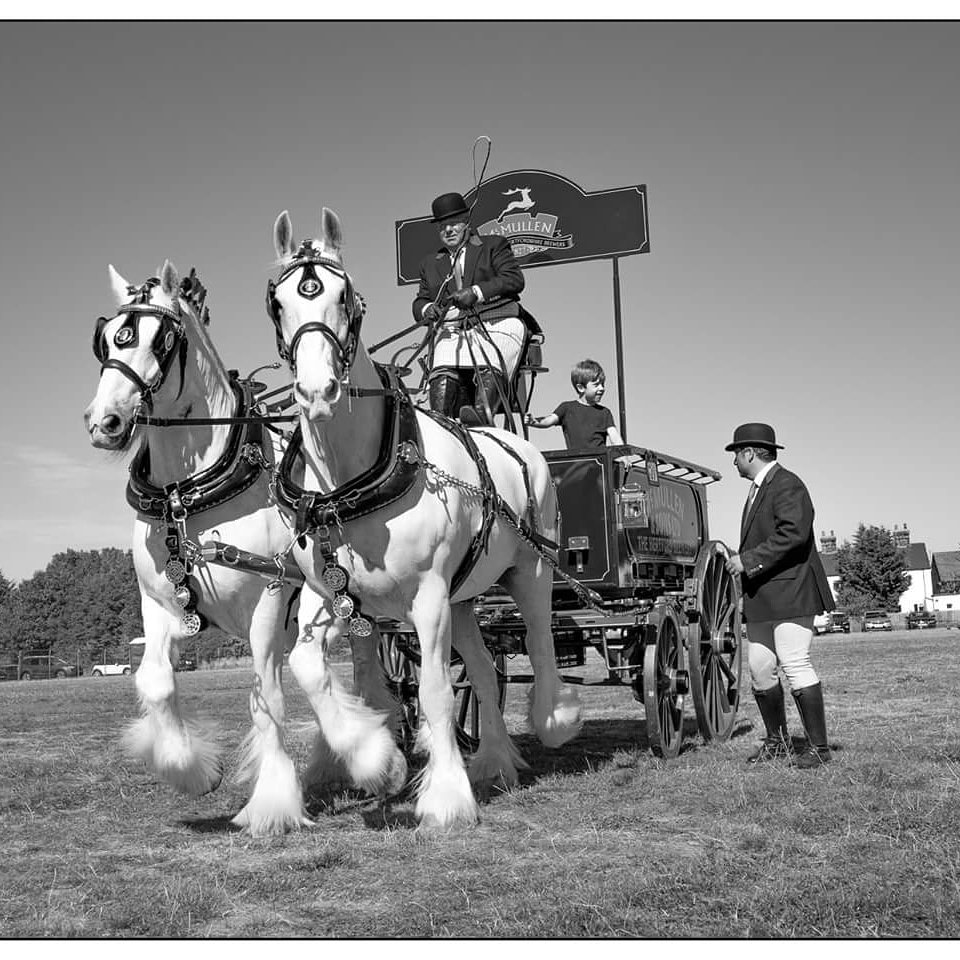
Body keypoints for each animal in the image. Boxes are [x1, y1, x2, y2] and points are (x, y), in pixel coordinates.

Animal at [83, 261, 406, 835]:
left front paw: (273, 801)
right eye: (105, 338)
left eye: (161, 339)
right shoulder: (160, 604)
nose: (106, 422)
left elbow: (267, 698)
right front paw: (191, 769)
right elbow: (155, 681)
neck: (185, 497)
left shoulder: (269, 601)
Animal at [267, 207, 583, 829]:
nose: (317, 391)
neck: (350, 480)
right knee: (482, 670)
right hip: (464, 597)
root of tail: (517, 442)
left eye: (346, 296)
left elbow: (436, 690)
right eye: (279, 301)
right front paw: (376, 761)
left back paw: (553, 722)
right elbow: (309, 668)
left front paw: (447, 797)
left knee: (538, 642)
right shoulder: (330, 593)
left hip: (530, 570)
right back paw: (494, 762)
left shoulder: (428, 595)